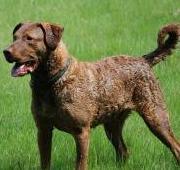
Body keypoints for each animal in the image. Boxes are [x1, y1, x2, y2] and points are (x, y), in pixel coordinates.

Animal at [2, 21, 180, 169]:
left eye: (29, 38)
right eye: (15, 37)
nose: (5, 51)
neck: (50, 83)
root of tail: (143, 60)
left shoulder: (81, 132)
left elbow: (80, 163)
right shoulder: (43, 129)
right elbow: (45, 162)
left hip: (156, 116)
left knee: (175, 146)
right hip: (112, 125)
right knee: (123, 151)